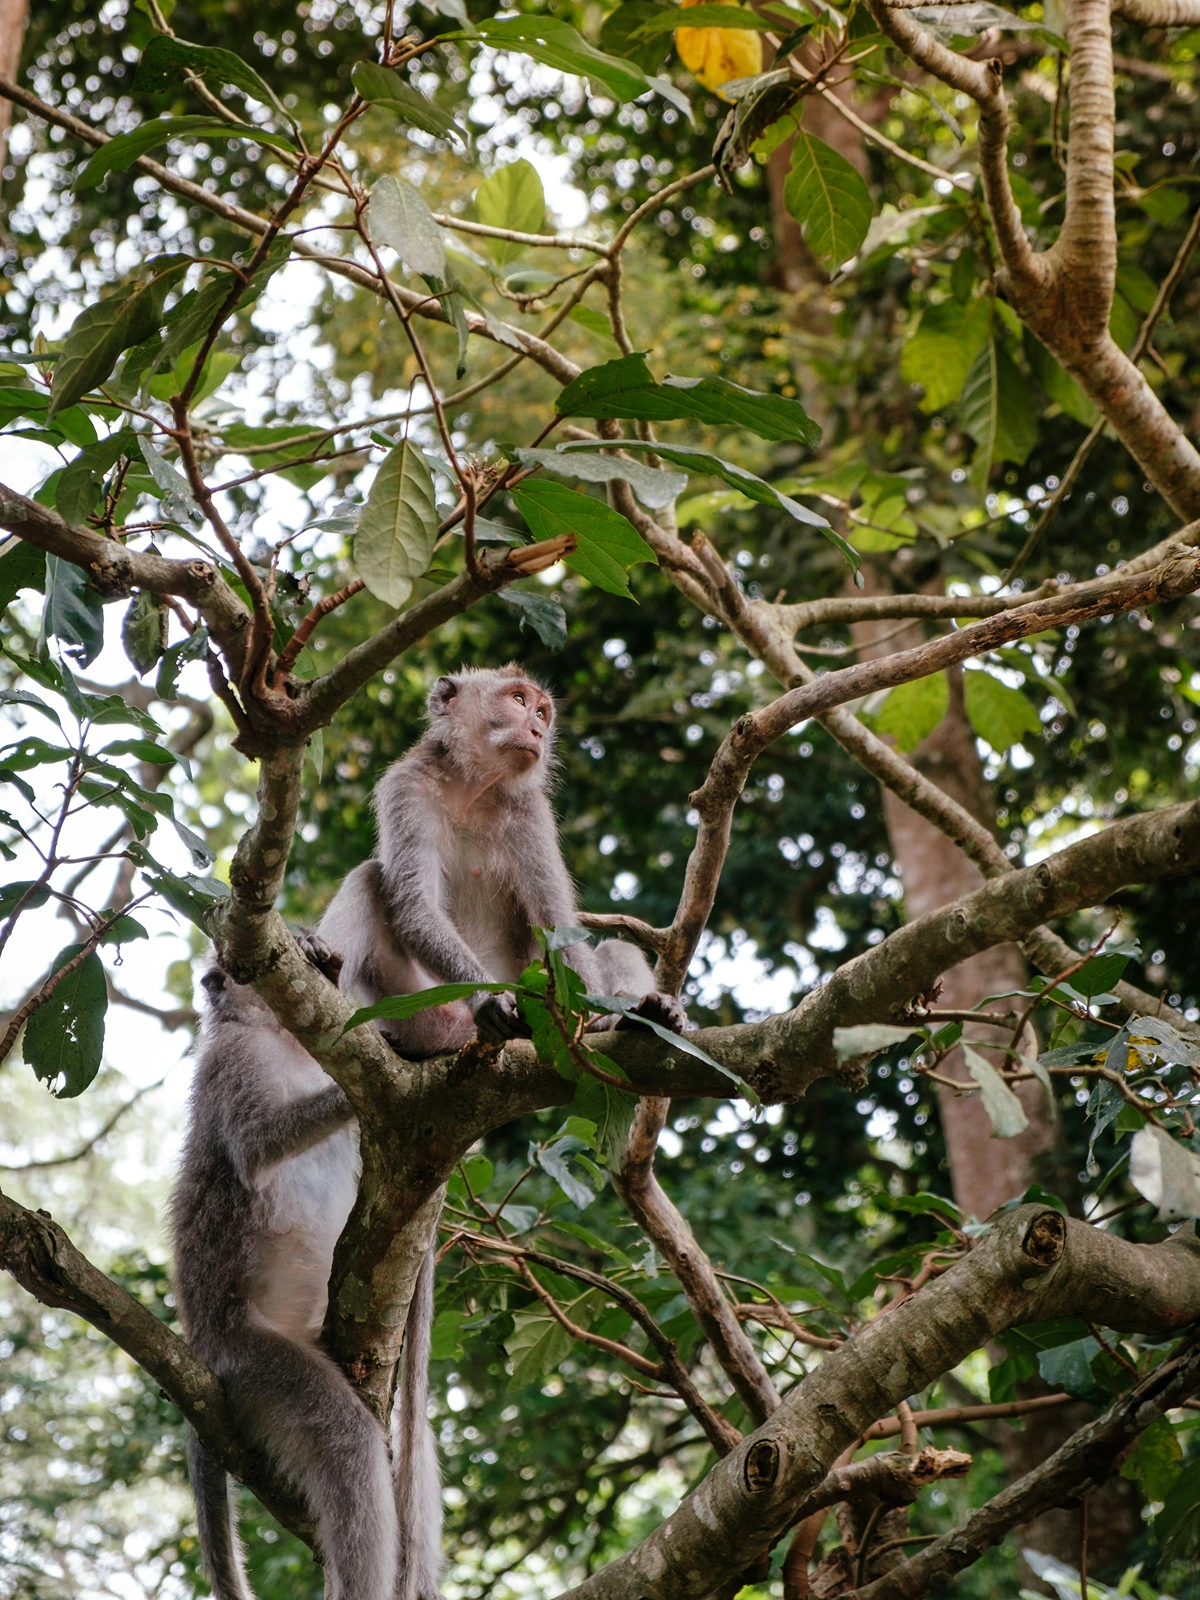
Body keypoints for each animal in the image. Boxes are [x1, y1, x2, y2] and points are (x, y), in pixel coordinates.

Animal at [171, 935, 442, 1600]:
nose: (317, 959)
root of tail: (202, 1348)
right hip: (248, 1361)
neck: (286, 1041)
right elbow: (257, 1143)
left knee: (413, 1439)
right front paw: (385, 1070)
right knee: (348, 1443)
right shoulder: (232, 1062)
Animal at [318, 664, 687, 1059]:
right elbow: (417, 906)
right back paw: (323, 963)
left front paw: (594, 1019)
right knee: (369, 877)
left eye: (541, 713)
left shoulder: (531, 813)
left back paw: (644, 1016)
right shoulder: (405, 789)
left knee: (618, 948)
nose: (538, 731)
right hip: (420, 1012)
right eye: (518, 700)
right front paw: (487, 998)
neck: (473, 789)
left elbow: (555, 921)